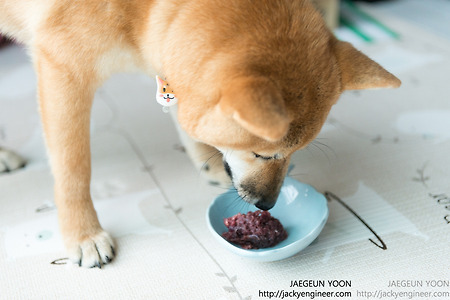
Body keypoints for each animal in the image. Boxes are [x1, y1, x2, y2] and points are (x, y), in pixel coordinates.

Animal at [0, 0, 400, 268]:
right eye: (263, 154)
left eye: (294, 154)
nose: (268, 205)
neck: (141, 11)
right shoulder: (64, 72)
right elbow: (74, 169)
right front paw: (82, 234)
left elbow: (185, 116)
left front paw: (207, 159)